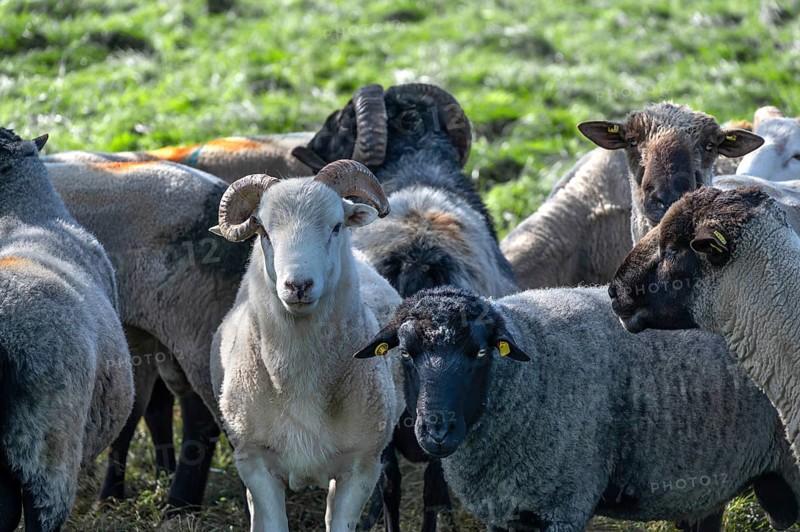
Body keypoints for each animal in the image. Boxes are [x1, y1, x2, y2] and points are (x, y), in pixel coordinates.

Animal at [209, 159, 404, 532]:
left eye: (337, 226)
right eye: (263, 229)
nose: (298, 285)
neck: (300, 377)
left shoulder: (362, 467)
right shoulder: (255, 463)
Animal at [295, 82, 516, 530]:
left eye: (342, 123)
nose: (304, 150)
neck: (417, 161)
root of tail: (417, 256)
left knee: (395, 480)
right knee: (417, 480)